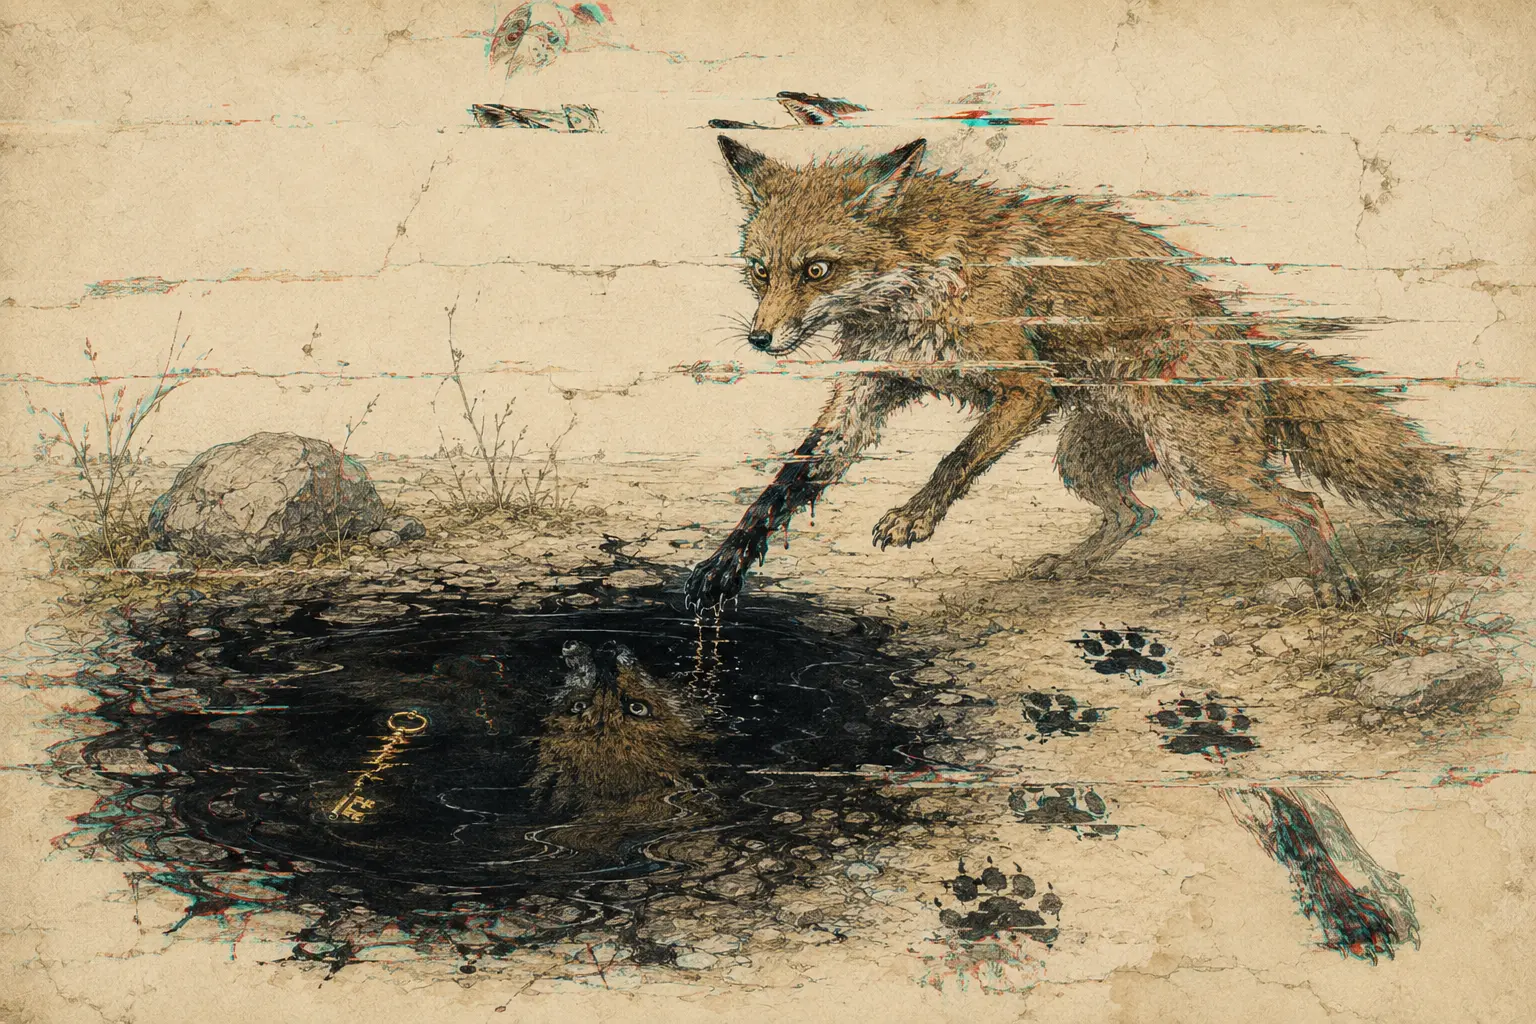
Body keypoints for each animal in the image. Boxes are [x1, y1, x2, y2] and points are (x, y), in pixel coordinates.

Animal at [683, 135, 1461, 611]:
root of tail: (1249, 355)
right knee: (1136, 512)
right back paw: (1071, 566)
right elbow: (779, 489)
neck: (916, 289)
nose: (759, 339)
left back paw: (1335, 585)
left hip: (1201, 467)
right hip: (1082, 457)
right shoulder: (871, 388)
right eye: (761, 271)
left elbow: (953, 460)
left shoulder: (1027, 388)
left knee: (1307, 505)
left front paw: (915, 517)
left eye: (817, 269)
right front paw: (722, 567)